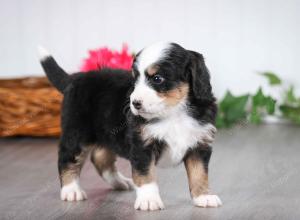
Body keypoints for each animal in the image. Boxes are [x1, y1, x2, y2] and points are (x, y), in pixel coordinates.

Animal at [39, 42, 223, 211]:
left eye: (157, 79)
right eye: (135, 79)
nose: (135, 103)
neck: (174, 113)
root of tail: (75, 78)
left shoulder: (200, 144)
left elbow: (199, 173)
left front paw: (203, 196)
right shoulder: (142, 145)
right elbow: (146, 174)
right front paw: (149, 200)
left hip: (106, 134)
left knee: (100, 158)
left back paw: (120, 182)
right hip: (77, 133)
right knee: (67, 159)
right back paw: (71, 190)